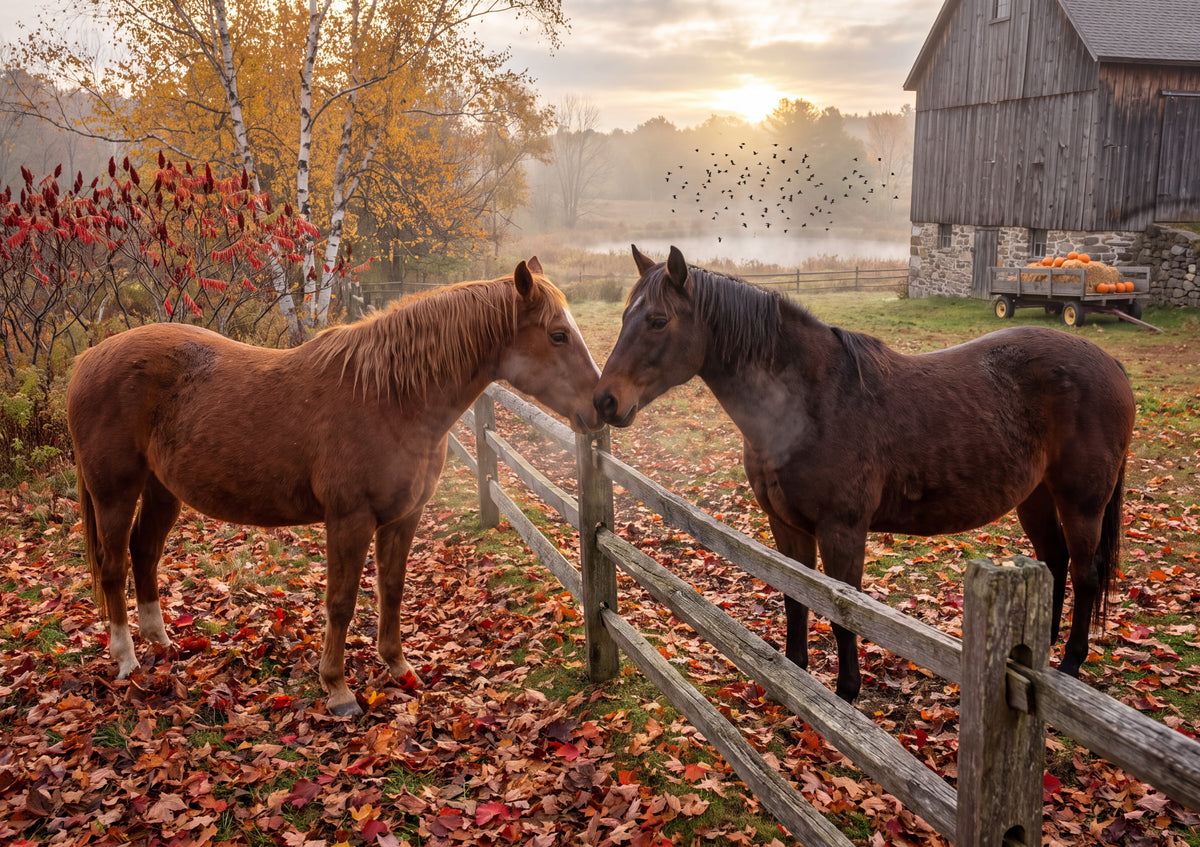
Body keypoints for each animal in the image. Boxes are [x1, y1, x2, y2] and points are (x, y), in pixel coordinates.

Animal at [67, 258, 601, 717]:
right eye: (557, 335)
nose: (602, 407)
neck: (391, 396)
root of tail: (89, 357)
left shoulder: (403, 516)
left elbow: (392, 588)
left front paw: (399, 667)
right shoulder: (350, 519)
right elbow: (341, 602)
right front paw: (338, 688)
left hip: (163, 491)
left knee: (144, 554)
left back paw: (161, 643)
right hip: (114, 493)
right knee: (114, 568)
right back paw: (127, 659)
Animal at [593, 245, 1133, 702]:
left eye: (658, 320)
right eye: (624, 316)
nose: (604, 400)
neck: (811, 403)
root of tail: (1109, 361)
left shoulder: (843, 532)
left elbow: (842, 616)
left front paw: (846, 693)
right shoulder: (786, 526)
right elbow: (796, 600)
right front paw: (796, 678)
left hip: (1082, 504)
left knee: (1085, 573)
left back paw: (1070, 665)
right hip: (1036, 497)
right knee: (1055, 562)